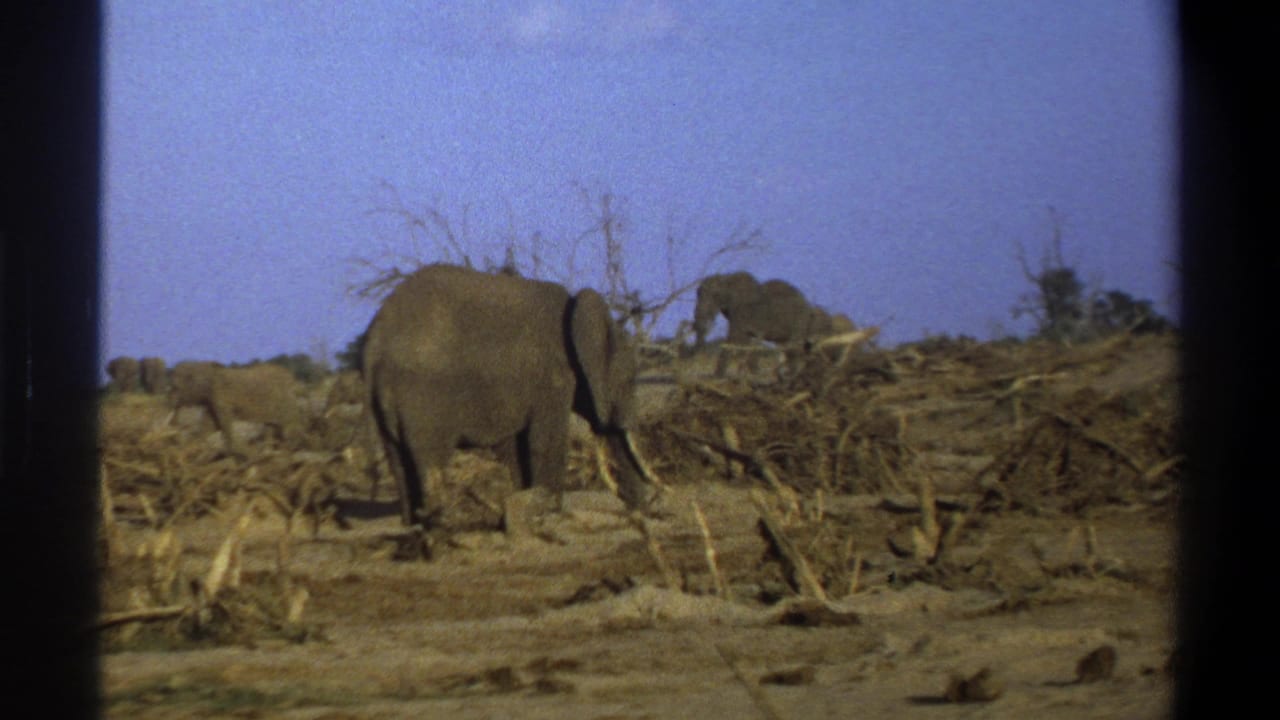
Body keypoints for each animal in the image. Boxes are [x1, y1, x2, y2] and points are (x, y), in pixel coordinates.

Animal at [169, 361, 307, 456]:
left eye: (176, 387)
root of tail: (294, 380)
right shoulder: (212, 401)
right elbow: (209, 425)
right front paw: (193, 447)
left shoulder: (220, 396)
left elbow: (223, 423)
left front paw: (237, 452)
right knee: (273, 428)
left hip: (285, 403)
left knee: (289, 427)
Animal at [362, 263, 651, 529]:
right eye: (629, 380)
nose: (636, 512)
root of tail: (374, 344)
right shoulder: (552, 376)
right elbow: (544, 441)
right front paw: (550, 511)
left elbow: (517, 447)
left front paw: (531, 505)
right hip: (423, 397)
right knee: (430, 459)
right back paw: (443, 523)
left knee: (398, 462)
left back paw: (414, 524)